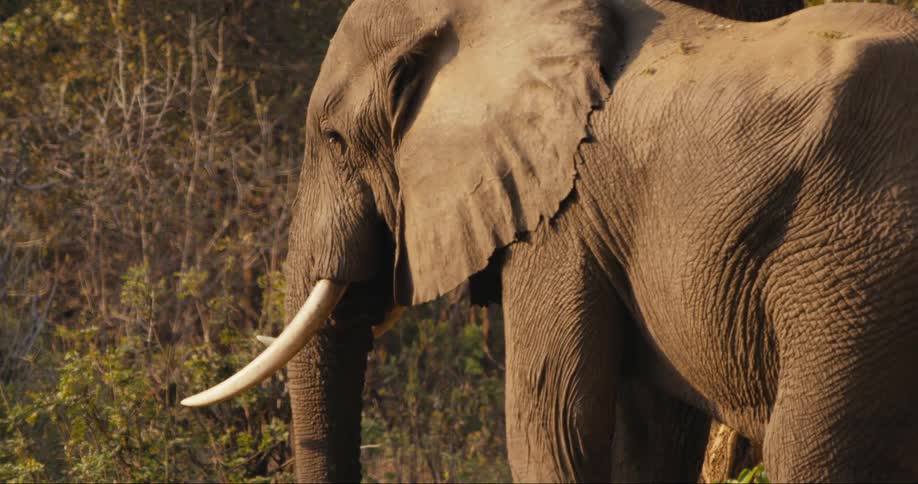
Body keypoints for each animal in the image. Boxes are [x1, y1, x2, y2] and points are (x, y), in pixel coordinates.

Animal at [182, 0, 918, 482]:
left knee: (814, 449)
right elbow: (647, 437)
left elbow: (554, 422)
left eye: (334, 139)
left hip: (856, 254)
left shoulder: (563, 216)